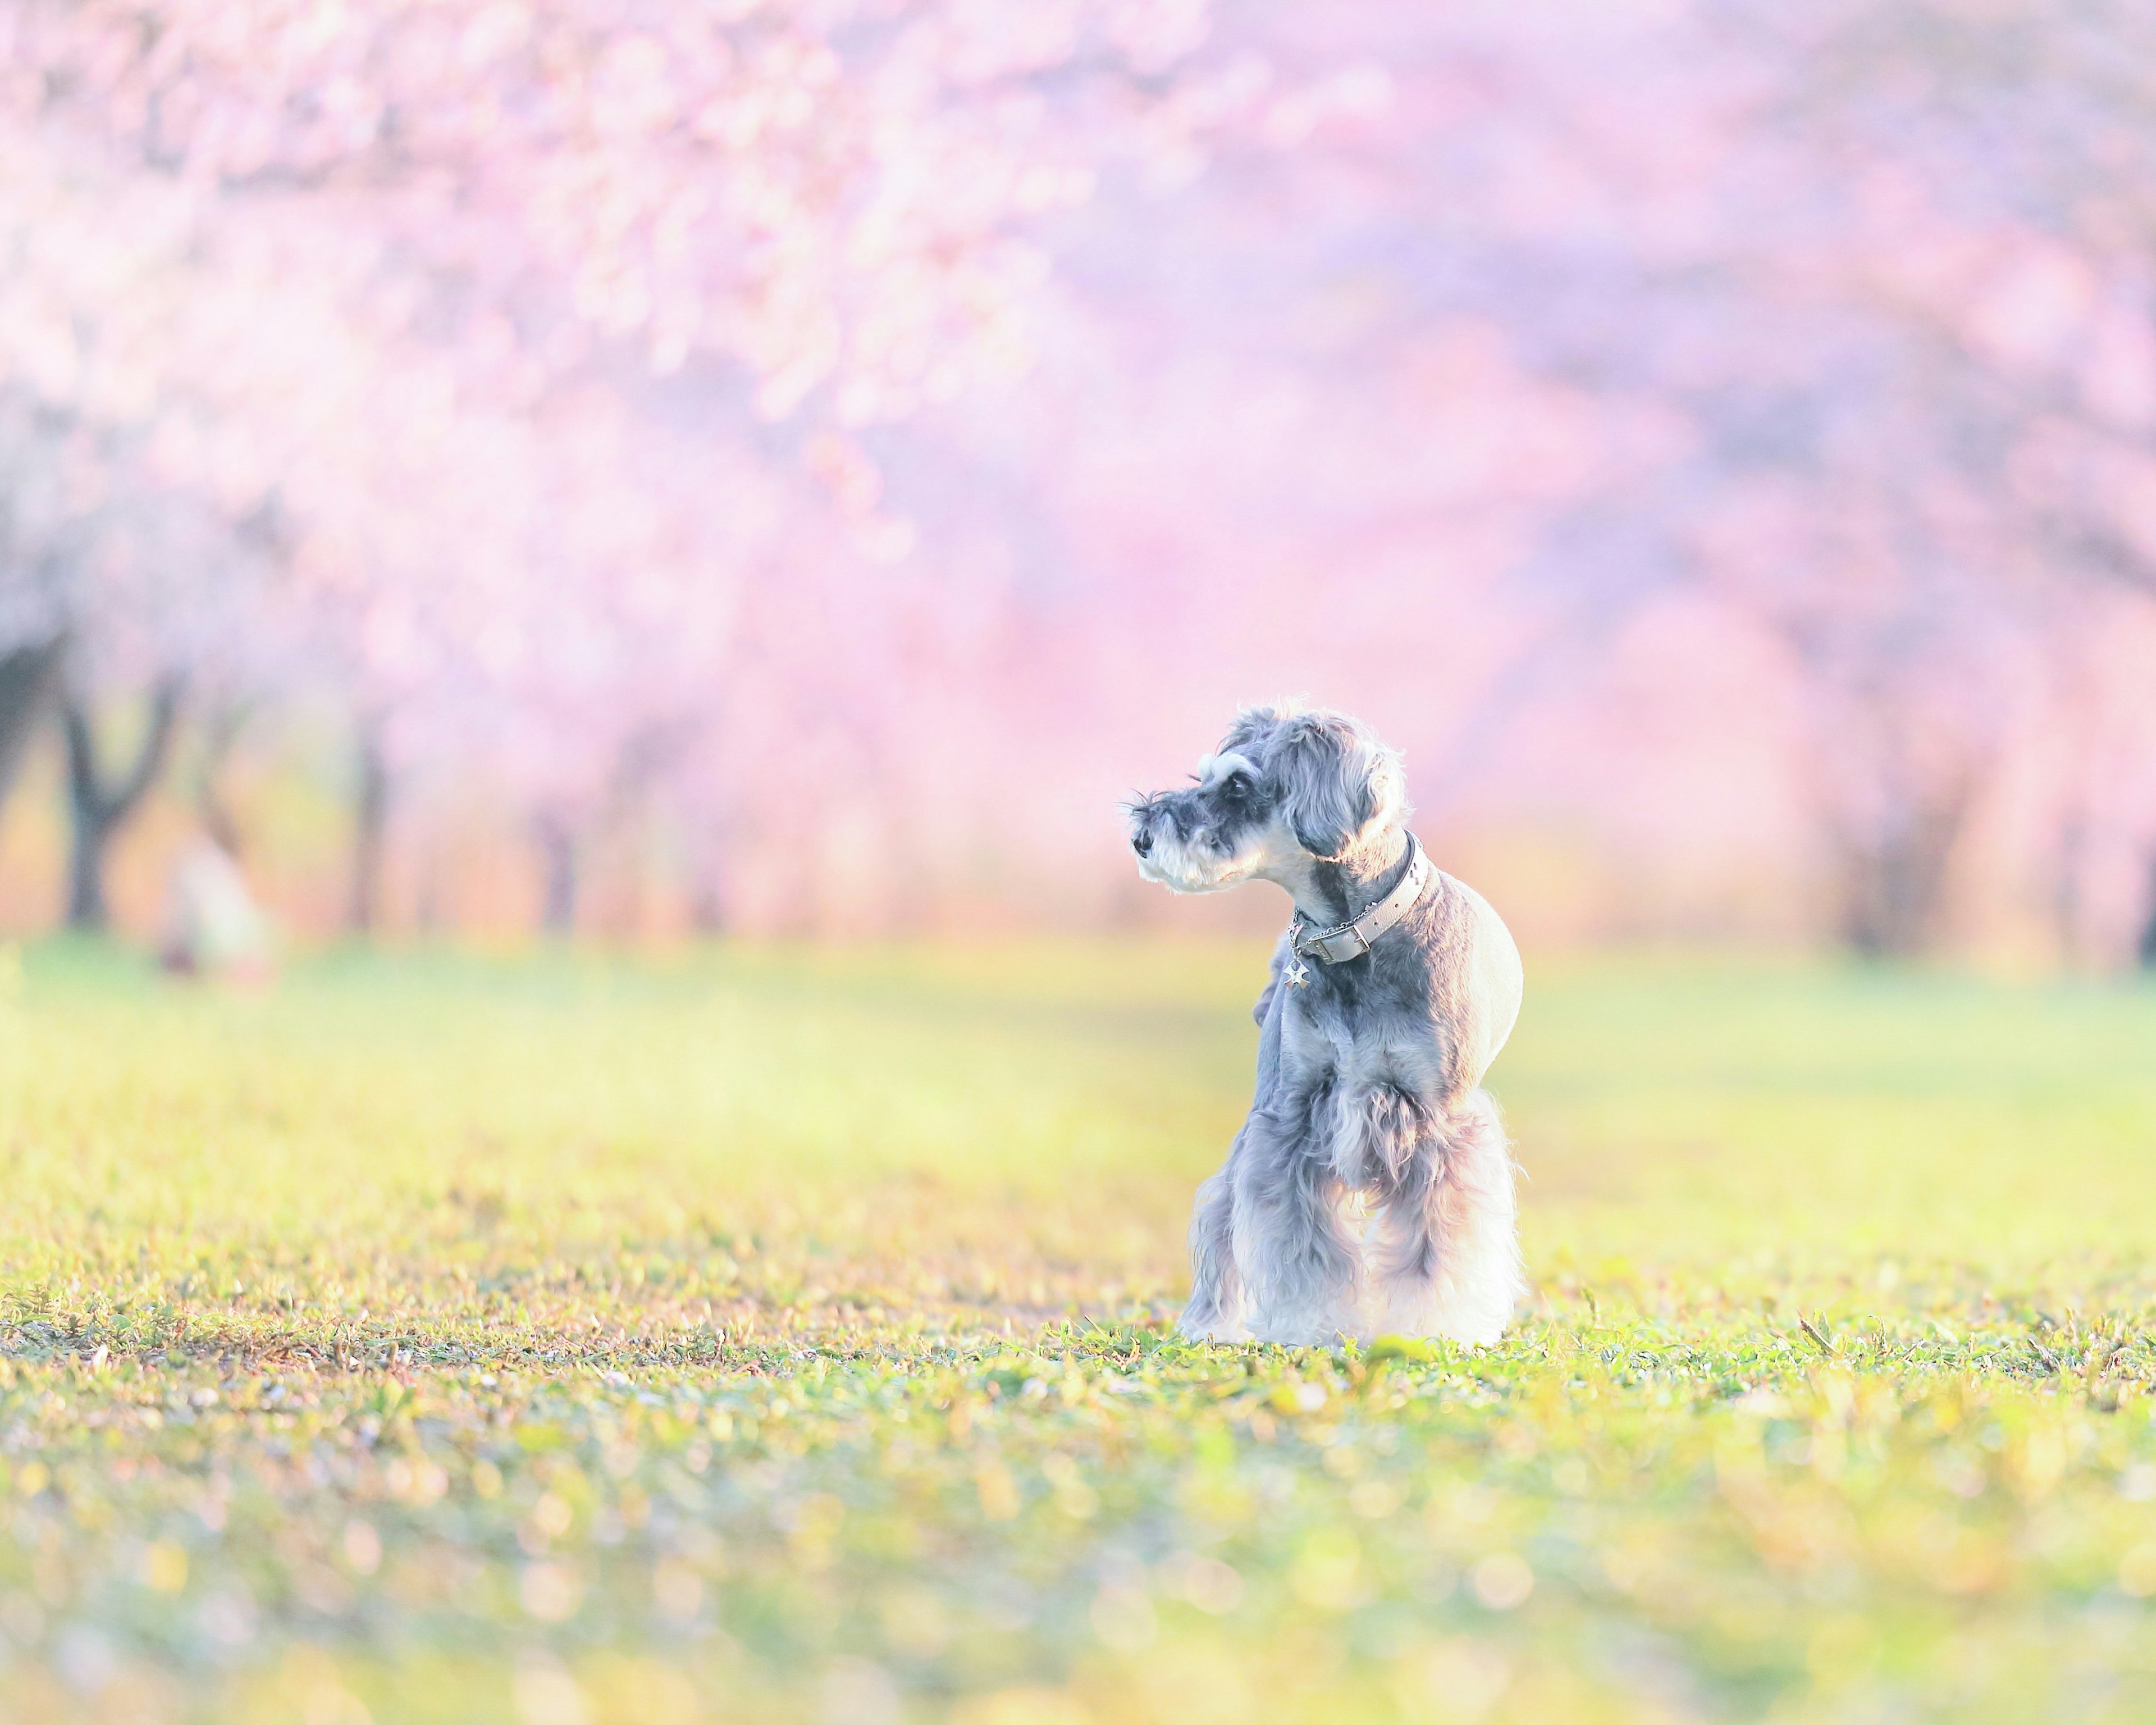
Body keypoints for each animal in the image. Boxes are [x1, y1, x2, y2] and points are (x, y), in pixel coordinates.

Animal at [1121, 702, 1526, 1345]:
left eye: (1239, 785)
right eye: (1205, 778)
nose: (1141, 838)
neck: (1356, 934)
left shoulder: (1440, 1124)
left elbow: (1434, 1246)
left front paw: (1430, 1327)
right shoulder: (1292, 1115)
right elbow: (1298, 1243)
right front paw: (1309, 1324)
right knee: (1221, 1214)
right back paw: (1212, 1322)